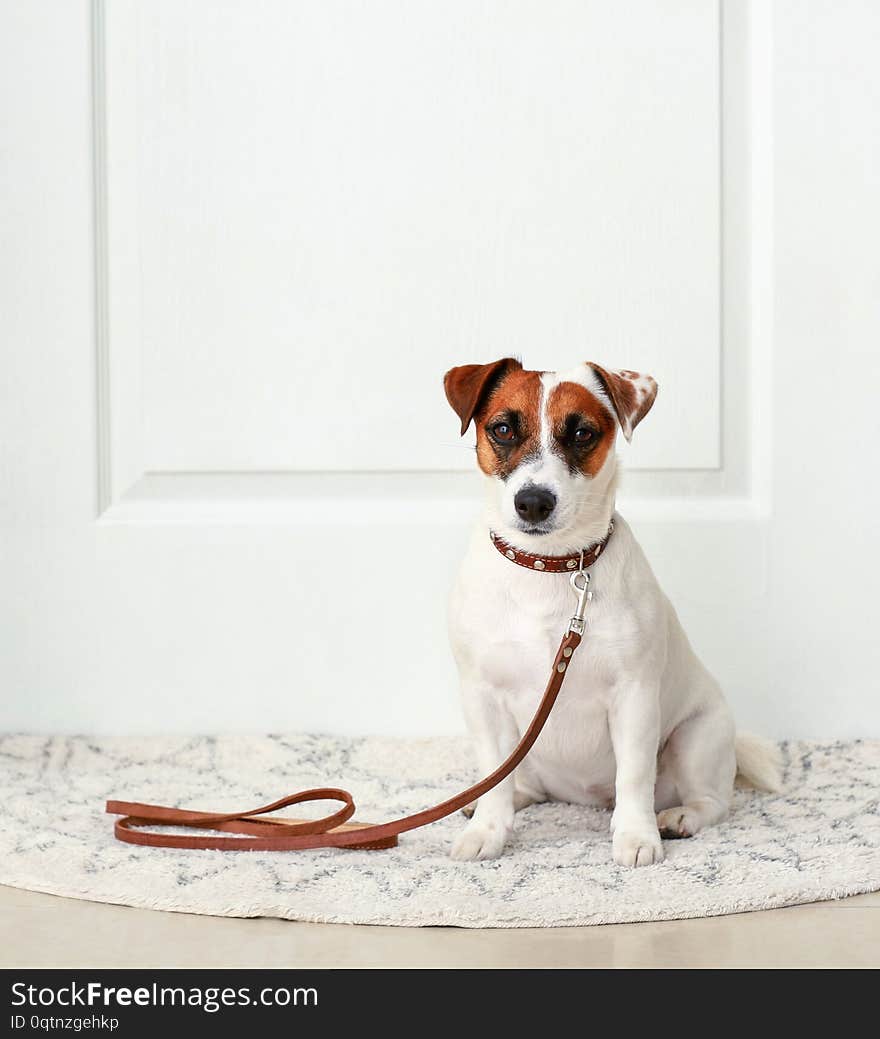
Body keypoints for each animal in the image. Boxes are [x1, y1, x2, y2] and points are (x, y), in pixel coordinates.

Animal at [444, 361, 781, 864]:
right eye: (502, 429)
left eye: (582, 433)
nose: (534, 502)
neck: (551, 566)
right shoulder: (483, 697)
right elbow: (494, 776)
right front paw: (487, 829)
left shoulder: (634, 696)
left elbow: (635, 777)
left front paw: (637, 836)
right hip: (531, 750)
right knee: (523, 783)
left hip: (697, 737)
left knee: (714, 800)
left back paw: (681, 817)